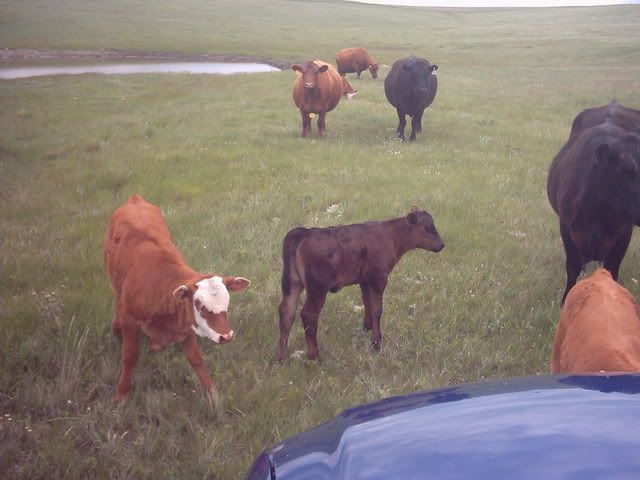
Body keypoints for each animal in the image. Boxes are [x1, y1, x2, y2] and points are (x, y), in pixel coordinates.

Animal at [103, 195, 250, 401]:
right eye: (200, 306)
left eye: (227, 302)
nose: (226, 336)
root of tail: (134, 199)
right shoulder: (130, 319)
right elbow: (129, 357)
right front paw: (122, 393)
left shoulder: (184, 322)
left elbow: (195, 358)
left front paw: (211, 393)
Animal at [276, 206, 444, 361]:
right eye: (428, 228)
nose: (442, 245)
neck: (391, 236)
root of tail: (304, 232)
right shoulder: (379, 278)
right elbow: (377, 309)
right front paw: (376, 342)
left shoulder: (365, 280)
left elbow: (366, 302)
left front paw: (366, 327)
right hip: (317, 288)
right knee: (308, 315)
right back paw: (314, 356)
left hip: (293, 283)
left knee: (286, 311)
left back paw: (281, 357)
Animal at [547, 102, 640, 303]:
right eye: (627, 169)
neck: (599, 214)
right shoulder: (567, 226)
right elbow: (572, 266)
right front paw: (566, 299)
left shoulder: (624, 232)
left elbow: (612, 269)